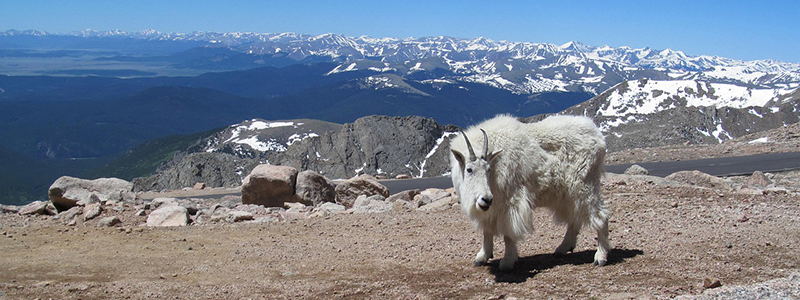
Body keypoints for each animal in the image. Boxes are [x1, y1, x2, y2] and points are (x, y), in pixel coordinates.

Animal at [446, 114, 608, 270]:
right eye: (469, 169)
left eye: (488, 169)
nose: (486, 199)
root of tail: (599, 136)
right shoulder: (492, 207)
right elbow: (487, 231)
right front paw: (481, 257)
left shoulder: (510, 201)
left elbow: (508, 233)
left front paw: (507, 261)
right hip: (568, 194)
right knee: (575, 218)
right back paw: (562, 248)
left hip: (584, 185)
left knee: (601, 216)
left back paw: (600, 256)